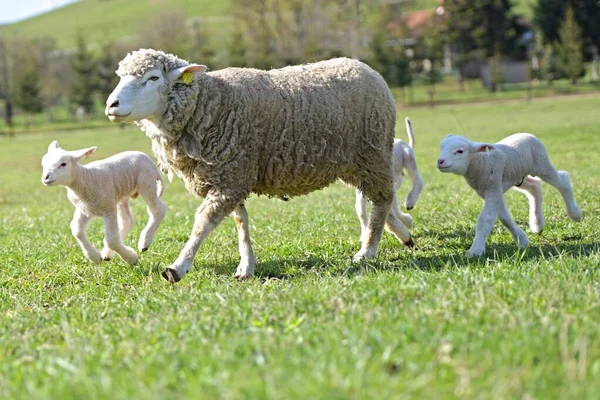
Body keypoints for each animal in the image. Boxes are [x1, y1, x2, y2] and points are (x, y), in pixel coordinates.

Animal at [106, 48, 404, 282]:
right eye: (121, 77)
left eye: (153, 77)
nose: (111, 105)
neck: (209, 105)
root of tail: (364, 66)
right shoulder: (232, 172)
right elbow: (241, 221)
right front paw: (246, 266)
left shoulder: (230, 177)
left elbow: (203, 223)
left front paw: (178, 266)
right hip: (352, 162)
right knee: (376, 199)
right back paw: (402, 234)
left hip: (373, 152)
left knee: (382, 198)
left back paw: (368, 250)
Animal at [354, 116, 424, 247]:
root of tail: (405, 143)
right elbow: (361, 211)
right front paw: (364, 235)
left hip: (409, 160)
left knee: (418, 181)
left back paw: (410, 202)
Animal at [436, 132, 580, 256]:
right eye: (441, 148)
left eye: (460, 151)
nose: (440, 161)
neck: (481, 162)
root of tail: (526, 134)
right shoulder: (492, 190)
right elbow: (504, 218)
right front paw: (522, 240)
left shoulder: (493, 188)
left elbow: (485, 219)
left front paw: (476, 250)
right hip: (519, 176)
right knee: (535, 186)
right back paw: (537, 223)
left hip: (542, 164)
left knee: (562, 180)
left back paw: (575, 214)